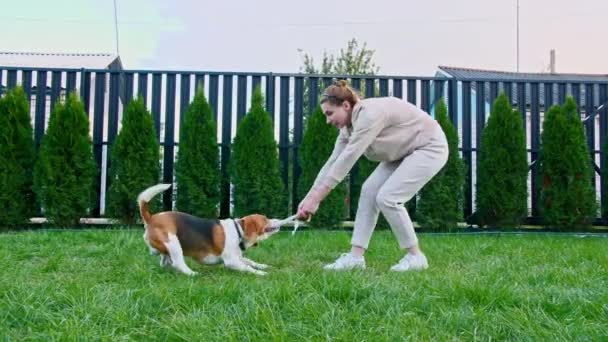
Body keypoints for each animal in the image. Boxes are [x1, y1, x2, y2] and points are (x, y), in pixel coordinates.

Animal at [137, 184, 280, 276]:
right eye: (265, 219)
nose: (278, 220)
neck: (238, 231)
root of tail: (151, 218)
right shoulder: (231, 261)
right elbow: (248, 267)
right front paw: (261, 273)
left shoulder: (237, 257)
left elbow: (250, 262)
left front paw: (262, 266)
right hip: (173, 243)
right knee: (178, 263)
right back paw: (192, 274)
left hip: (166, 249)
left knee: (165, 261)